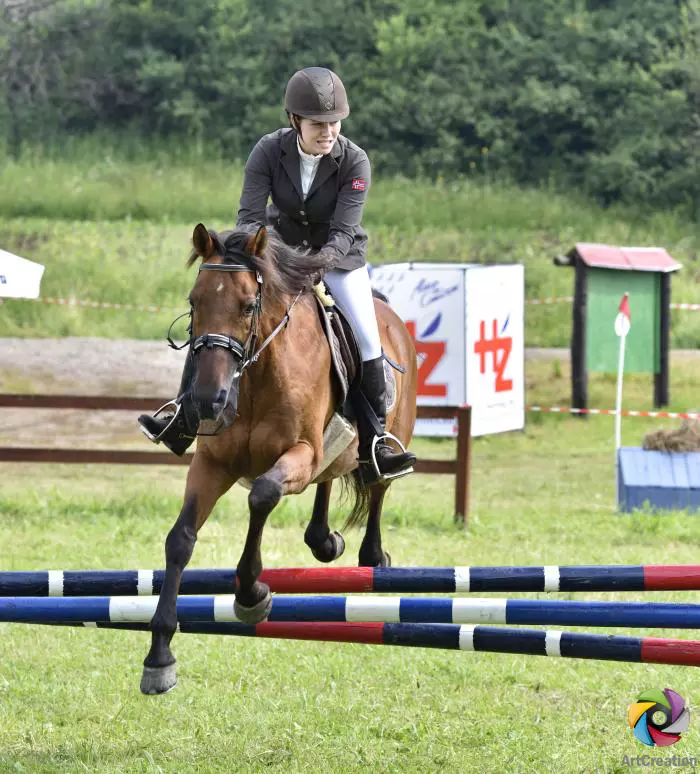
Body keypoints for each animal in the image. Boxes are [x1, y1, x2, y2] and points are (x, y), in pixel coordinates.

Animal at [141, 223, 417, 694]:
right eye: (194, 301)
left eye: (248, 305)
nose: (207, 400)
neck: (255, 377)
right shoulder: (213, 464)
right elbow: (180, 539)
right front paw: (159, 656)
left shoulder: (299, 454)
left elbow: (262, 495)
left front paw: (251, 595)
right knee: (331, 478)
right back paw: (324, 540)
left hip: (388, 435)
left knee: (378, 484)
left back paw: (373, 556)